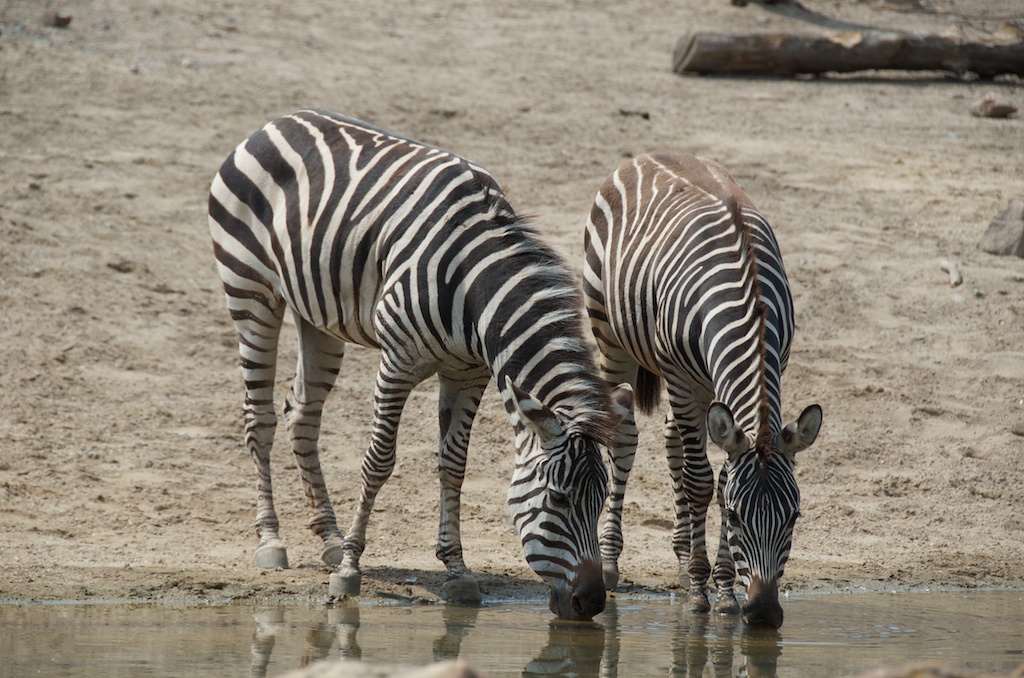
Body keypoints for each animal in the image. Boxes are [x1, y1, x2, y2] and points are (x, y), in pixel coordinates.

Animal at [205, 110, 630, 622]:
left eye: (601, 498)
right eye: (559, 499)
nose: (591, 602)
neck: (472, 289)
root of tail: (276, 122)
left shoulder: (469, 374)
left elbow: (453, 465)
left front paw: (458, 571)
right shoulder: (397, 362)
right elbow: (378, 462)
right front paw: (349, 570)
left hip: (317, 317)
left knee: (302, 415)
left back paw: (329, 536)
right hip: (251, 292)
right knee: (260, 418)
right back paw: (271, 540)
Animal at [585, 151, 823, 630]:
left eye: (794, 517)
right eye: (735, 517)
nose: (764, 614)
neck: (749, 302)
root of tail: (648, 155)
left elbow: (720, 478)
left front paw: (724, 589)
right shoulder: (679, 377)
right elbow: (700, 483)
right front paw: (700, 591)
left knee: (673, 437)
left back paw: (680, 558)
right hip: (611, 338)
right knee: (622, 434)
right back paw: (610, 561)